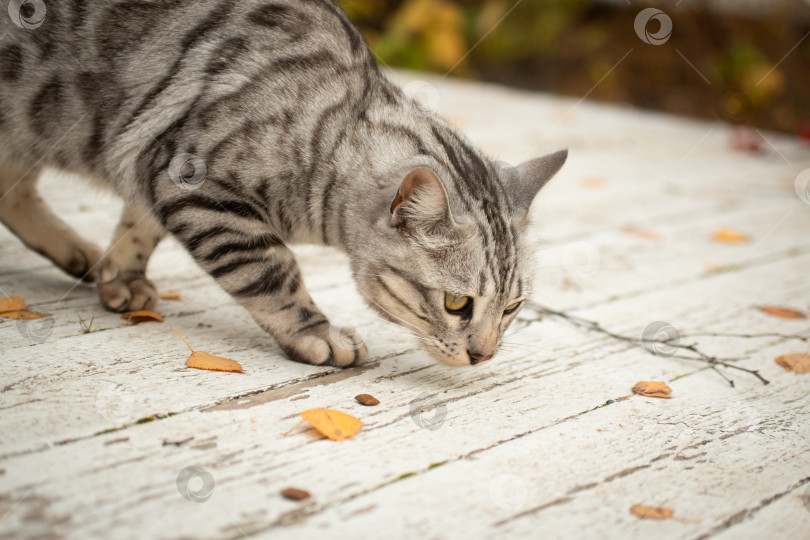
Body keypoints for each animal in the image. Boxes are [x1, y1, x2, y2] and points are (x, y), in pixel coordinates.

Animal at [0, 0, 564, 368]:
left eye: (512, 308)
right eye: (456, 304)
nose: (483, 355)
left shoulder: (149, 161)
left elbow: (139, 226)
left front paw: (122, 276)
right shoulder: (191, 181)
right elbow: (272, 269)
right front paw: (318, 334)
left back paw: (79, 253)